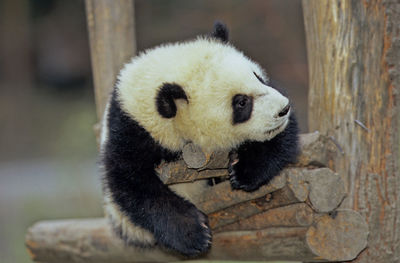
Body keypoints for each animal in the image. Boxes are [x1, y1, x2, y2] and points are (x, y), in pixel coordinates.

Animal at [101, 22, 296, 258]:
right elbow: (132, 184)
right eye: (241, 102)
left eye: (257, 77)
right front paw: (193, 233)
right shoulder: (131, 129)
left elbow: (282, 137)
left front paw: (243, 171)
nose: (283, 109)